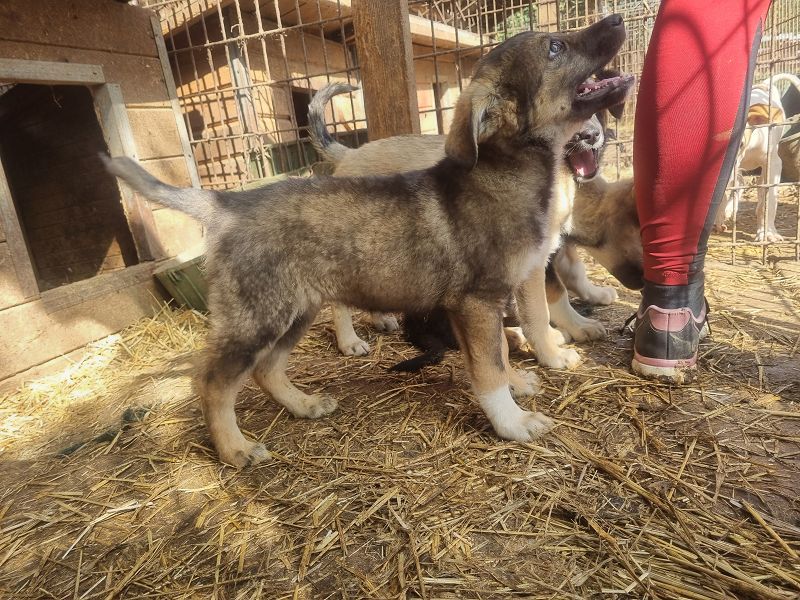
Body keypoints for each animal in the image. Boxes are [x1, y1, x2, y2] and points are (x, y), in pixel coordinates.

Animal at [310, 82, 641, 369]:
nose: (592, 136)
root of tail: (350, 153)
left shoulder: (553, 245)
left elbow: (571, 273)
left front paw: (589, 302)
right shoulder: (535, 257)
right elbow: (549, 298)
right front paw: (564, 339)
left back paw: (380, 319)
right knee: (338, 301)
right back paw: (349, 340)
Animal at [715, 73, 800, 242]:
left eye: (739, 144)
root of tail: (765, 85)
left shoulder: (774, 163)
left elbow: (769, 200)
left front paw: (767, 232)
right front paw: (720, 217)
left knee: (759, 190)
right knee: (740, 183)